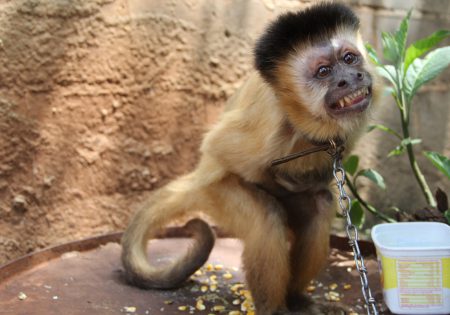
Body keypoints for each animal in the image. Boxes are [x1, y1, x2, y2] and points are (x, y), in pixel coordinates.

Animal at [120, 3, 380, 315]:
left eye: (349, 58)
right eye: (323, 71)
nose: (349, 78)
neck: (304, 118)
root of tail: (197, 180)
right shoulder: (271, 122)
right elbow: (219, 148)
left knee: (320, 204)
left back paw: (296, 299)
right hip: (217, 192)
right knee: (267, 216)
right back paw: (276, 307)